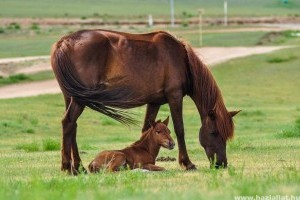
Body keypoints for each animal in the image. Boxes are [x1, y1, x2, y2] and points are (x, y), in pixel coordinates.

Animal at [51, 28, 239, 174]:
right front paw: (187, 163)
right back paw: (67, 167)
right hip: (79, 99)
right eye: (214, 133)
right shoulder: (175, 96)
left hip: (71, 97)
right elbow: (180, 129)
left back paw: (79, 167)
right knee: (68, 123)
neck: (181, 59)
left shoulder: (154, 102)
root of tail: (64, 42)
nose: (221, 164)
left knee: (72, 127)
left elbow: (146, 129)